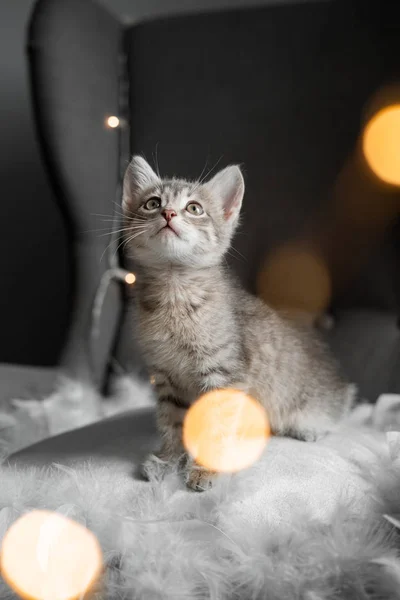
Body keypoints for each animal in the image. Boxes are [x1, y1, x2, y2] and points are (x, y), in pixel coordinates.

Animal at [122, 157, 356, 490]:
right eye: (152, 203)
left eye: (194, 208)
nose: (168, 213)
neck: (174, 293)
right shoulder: (167, 378)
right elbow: (172, 422)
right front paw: (168, 460)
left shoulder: (225, 376)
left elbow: (215, 427)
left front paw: (206, 469)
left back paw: (309, 428)